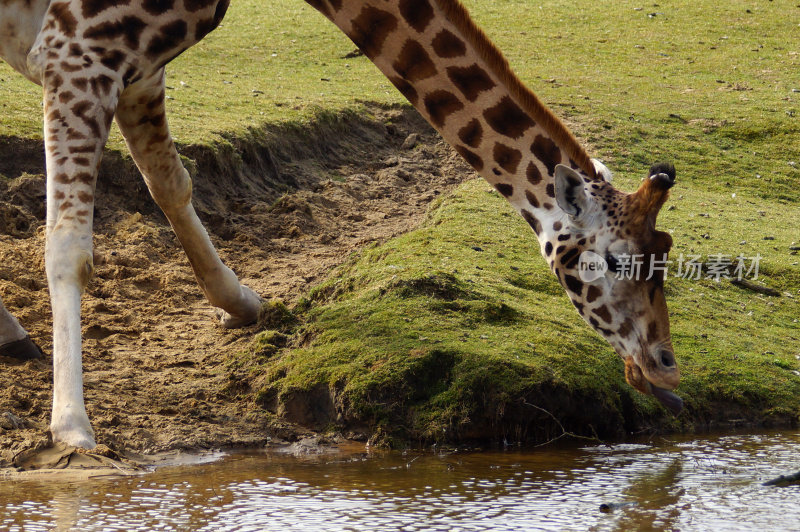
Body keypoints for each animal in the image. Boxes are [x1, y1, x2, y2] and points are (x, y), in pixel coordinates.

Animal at [0, 0, 680, 448]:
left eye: (665, 255)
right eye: (616, 261)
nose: (666, 370)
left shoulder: (135, 64)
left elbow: (171, 180)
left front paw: (241, 303)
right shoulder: (79, 51)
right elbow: (70, 246)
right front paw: (72, 428)